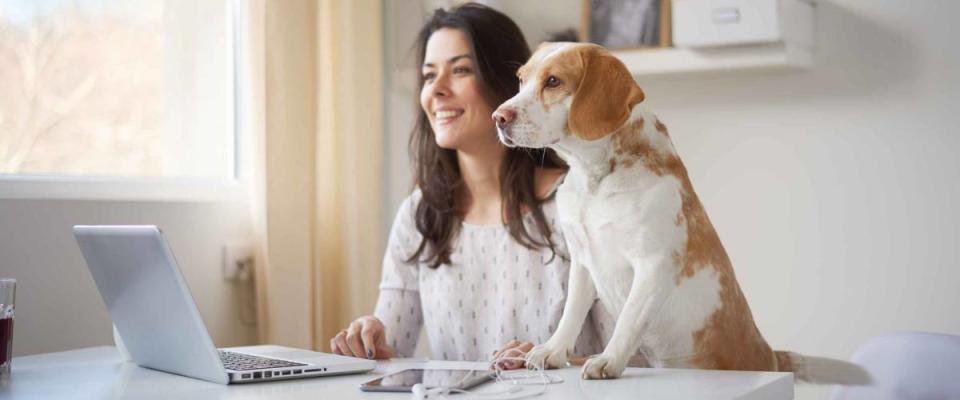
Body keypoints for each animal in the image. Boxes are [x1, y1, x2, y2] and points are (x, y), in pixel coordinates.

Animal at [496, 41, 872, 384]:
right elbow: (571, 315)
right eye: (520, 79)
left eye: (553, 81)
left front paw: (608, 360)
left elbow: (628, 320)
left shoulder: (654, 262)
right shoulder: (582, 262)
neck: (596, 179)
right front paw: (552, 351)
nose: (498, 117)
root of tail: (773, 358)